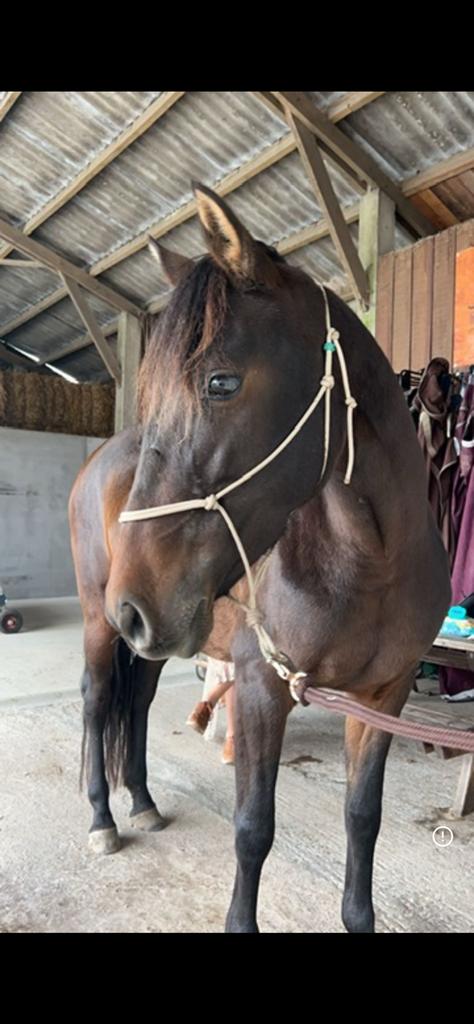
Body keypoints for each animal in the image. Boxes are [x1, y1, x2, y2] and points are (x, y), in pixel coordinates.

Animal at [69, 181, 451, 931]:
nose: (134, 603)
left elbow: (363, 819)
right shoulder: (259, 686)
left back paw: (143, 803)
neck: (370, 565)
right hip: (102, 626)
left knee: (135, 703)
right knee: (99, 704)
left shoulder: (384, 696)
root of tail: (96, 461)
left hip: (152, 642)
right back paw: (101, 819)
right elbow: (253, 829)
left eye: (220, 383)